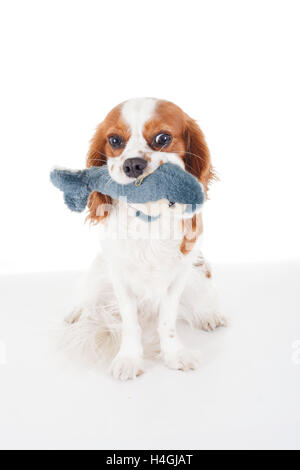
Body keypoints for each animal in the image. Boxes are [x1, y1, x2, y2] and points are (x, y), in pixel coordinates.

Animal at [65, 97, 225, 380]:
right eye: (115, 140)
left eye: (163, 138)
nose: (132, 165)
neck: (149, 214)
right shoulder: (118, 273)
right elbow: (130, 321)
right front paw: (129, 358)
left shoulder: (179, 272)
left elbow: (167, 319)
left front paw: (174, 354)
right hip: (99, 267)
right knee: (89, 290)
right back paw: (79, 310)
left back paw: (208, 313)